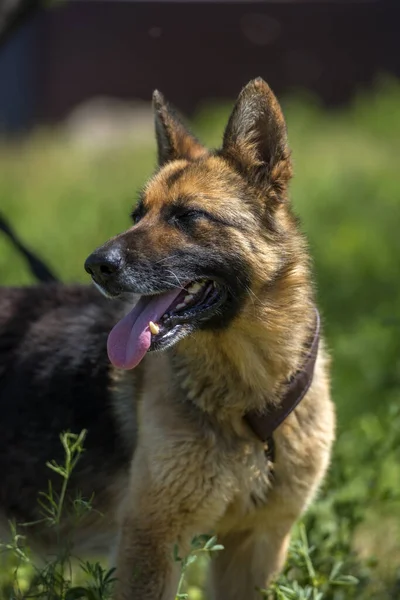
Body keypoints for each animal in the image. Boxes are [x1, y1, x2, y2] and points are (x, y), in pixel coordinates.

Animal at [0, 81, 334, 600]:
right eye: (137, 215)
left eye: (187, 216)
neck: (248, 395)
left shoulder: (255, 547)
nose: (95, 266)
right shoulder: (152, 541)